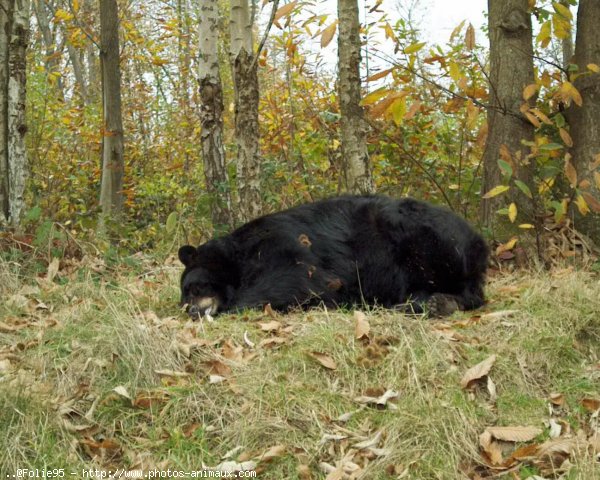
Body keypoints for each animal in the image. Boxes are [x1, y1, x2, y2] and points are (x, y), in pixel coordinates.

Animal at [178, 195, 488, 318]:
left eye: (195, 287)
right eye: (183, 297)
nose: (192, 311)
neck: (238, 256)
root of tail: (479, 242)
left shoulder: (281, 245)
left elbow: (297, 279)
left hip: (428, 240)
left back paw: (434, 302)